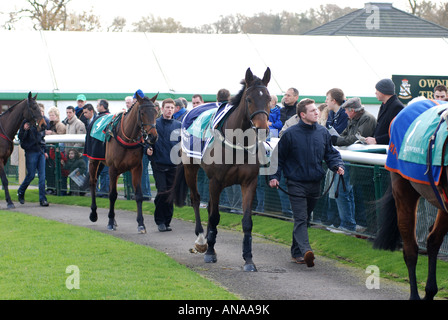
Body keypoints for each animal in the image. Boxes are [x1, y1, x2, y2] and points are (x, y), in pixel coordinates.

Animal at [86, 94, 158, 234]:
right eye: (142, 113)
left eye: (156, 112)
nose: (153, 136)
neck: (127, 137)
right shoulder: (113, 168)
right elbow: (113, 195)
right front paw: (109, 222)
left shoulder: (137, 167)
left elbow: (139, 195)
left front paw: (141, 224)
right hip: (93, 159)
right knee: (93, 182)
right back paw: (93, 214)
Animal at [172, 68, 272, 272]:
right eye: (249, 99)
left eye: (269, 99)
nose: (262, 129)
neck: (237, 143)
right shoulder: (215, 181)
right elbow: (215, 216)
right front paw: (209, 252)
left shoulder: (249, 183)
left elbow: (247, 221)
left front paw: (248, 259)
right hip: (190, 168)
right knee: (196, 199)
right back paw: (202, 241)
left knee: (210, 205)